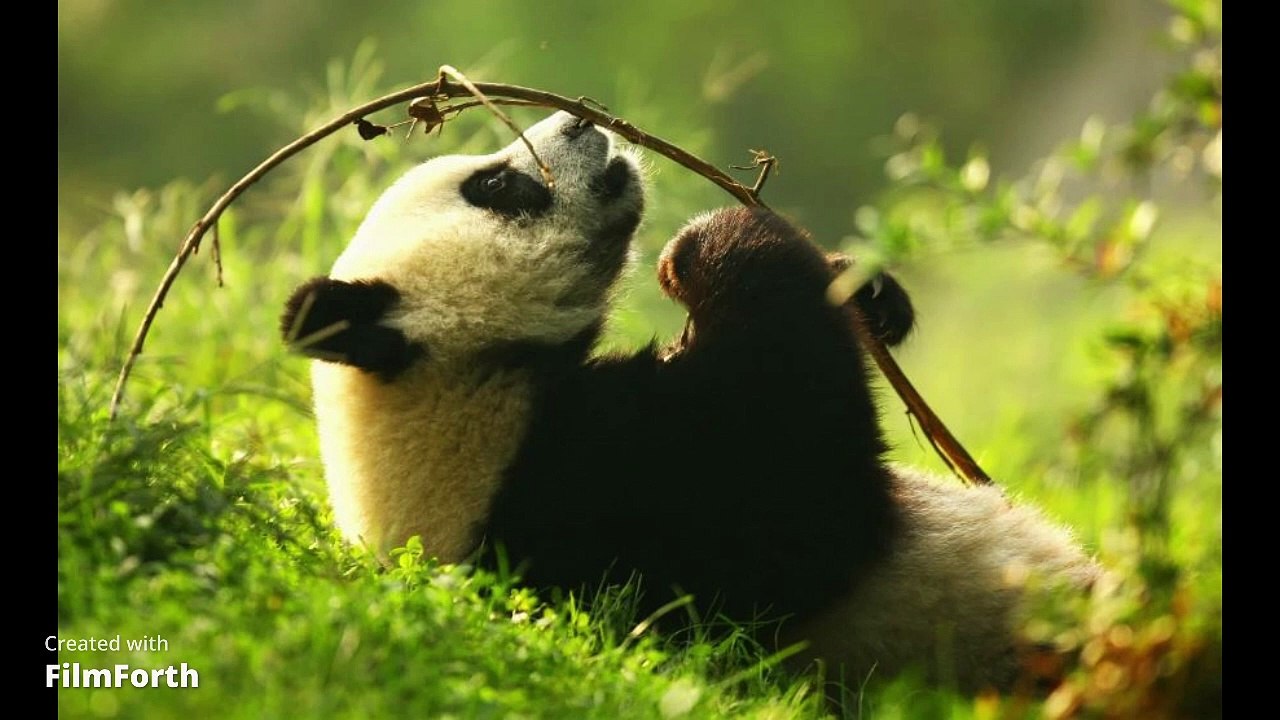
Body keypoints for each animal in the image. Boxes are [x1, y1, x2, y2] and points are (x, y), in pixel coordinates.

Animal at [280, 111, 1099, 692]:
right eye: (495, 187)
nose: (579, 122)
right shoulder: (601, 499)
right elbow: (799, 483)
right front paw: (710, 244)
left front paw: (869, 292)